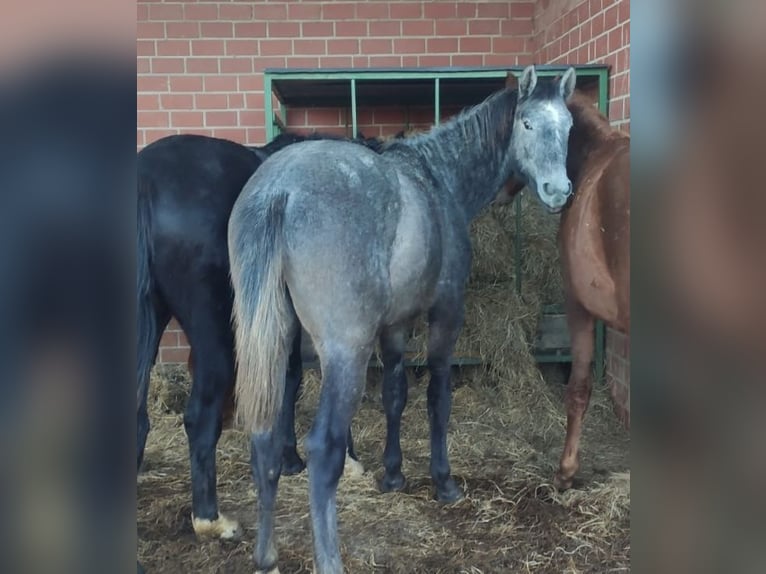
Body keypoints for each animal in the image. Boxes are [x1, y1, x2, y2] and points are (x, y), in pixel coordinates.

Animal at [228, 64, 577, 574]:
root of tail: (281, 189)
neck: (438, 179)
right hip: (344, 352)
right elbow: (436, 398)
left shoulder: (394, 327)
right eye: (528, 123)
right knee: (323, 450)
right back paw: (329, 559)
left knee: (265, 438)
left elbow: (395, 395)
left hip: (273, 343)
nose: (558, 190)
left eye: (568, 126)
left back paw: (266, 553)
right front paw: (444, 481)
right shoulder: (445, 313)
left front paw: (393, 475)